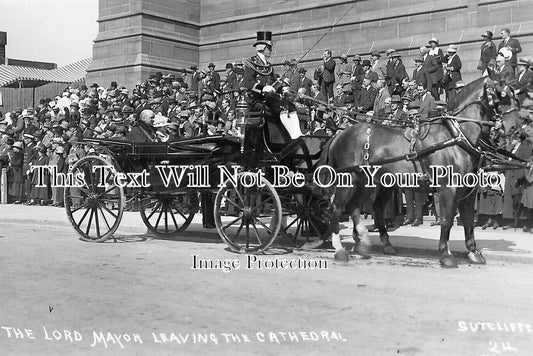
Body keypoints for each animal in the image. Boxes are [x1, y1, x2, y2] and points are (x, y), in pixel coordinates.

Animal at [320, 78, 520, 268]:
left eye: (515, 96)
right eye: (501, 95)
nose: (514, 128)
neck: (456, 135)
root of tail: (339, 135)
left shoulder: (468, 192)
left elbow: (469, 221)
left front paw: (473, 251)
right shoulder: (448, 189)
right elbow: (447, 220)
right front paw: (446, 254)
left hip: (370, 182)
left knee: (360, 207)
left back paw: (366, 242)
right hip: (348, 179)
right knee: (337, 208)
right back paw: (340, 249)